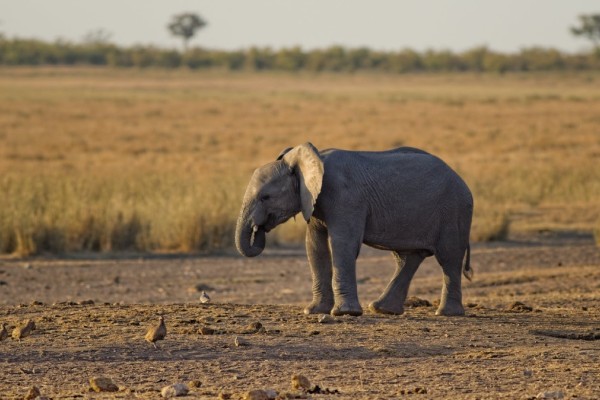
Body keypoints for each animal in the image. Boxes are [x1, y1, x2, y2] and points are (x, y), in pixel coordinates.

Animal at [234, 142, 474, 318]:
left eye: (265, 197)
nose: (258, 229)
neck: (310, 159)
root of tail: (463, 181)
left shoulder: (344, 196)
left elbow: (342, 245)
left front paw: (344, 313)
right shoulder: (313, 201)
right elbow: (315, 247)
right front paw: (313, 311)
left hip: (454, 211)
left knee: (449, 258)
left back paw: (446, 314)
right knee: (408, 258)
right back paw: (381, 309)